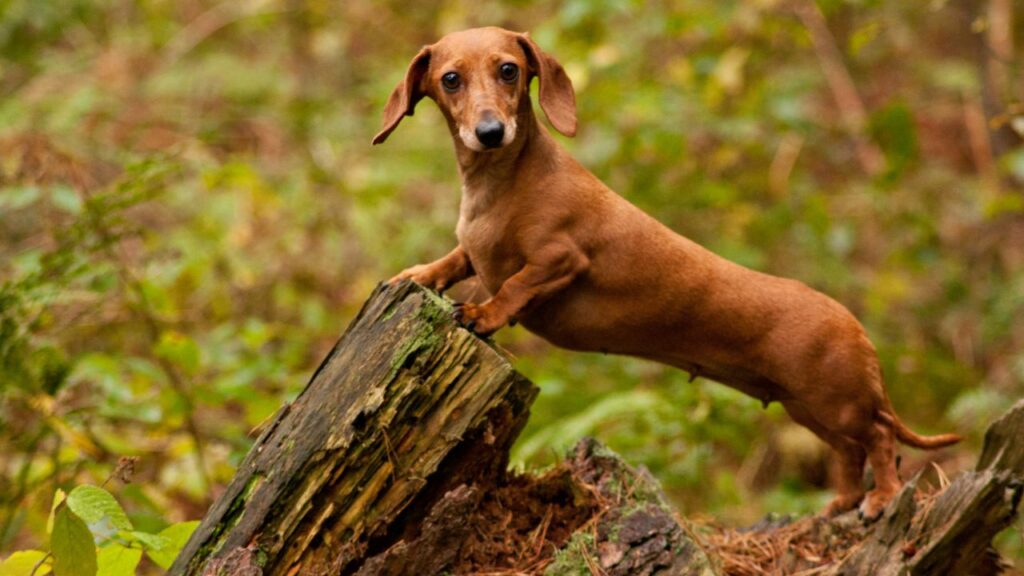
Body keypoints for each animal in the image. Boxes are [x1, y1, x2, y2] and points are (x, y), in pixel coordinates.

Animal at [376, 26, 958, 518]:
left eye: (508, 70)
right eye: (451, 78)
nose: (490, 131)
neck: (501, 184)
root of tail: (856, 326)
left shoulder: (559, 258)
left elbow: (514, 285)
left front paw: (483, 313)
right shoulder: (474, 251)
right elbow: (455, 260)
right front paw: (417, 276)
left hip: (838, 403)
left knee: (880, 440)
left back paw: (880, 498)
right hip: (808, 409)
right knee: (850, 452)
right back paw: (842, 501)